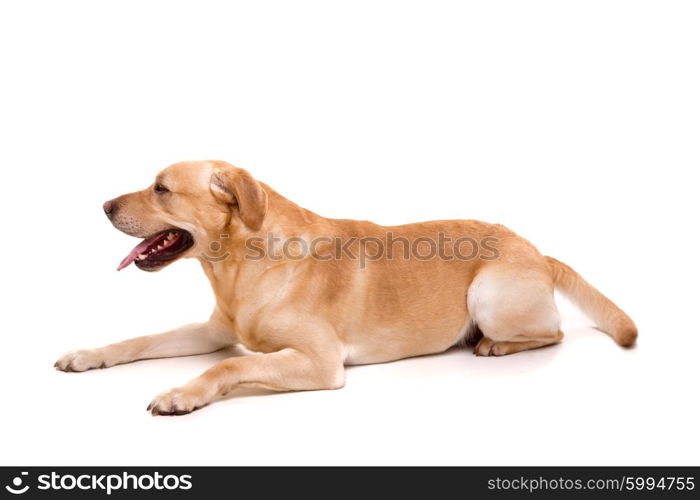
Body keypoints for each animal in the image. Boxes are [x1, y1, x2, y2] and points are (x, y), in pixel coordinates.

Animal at [54, 159, 636, 414]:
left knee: (554, 334)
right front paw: (88, 354)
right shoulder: (213, 331)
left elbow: (230, 367)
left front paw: (181, 393)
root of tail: (535, 248)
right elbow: (142, 340)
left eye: (161, 189)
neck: (241, 264)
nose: (103, 206)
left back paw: (493, 344)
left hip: (488, 295)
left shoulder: (318, 362)